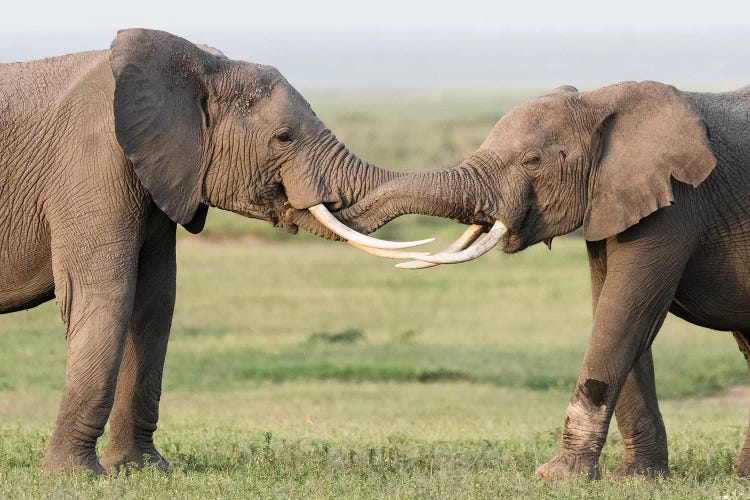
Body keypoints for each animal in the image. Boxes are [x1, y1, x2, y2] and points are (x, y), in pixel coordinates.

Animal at [0, 29, 432, 474]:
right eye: (284, 137)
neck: (198, 67)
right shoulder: (92, 164)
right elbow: (104, 295)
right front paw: (76, 476)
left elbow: (155, 301)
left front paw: (145, 470)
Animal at [340, 83, 750, 480]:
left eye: (533, 161)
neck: (599, 103)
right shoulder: (613, 202)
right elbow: (612, 311)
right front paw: (638, 478)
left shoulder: (677, 205)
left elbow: (626, 315)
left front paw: (558, 477)